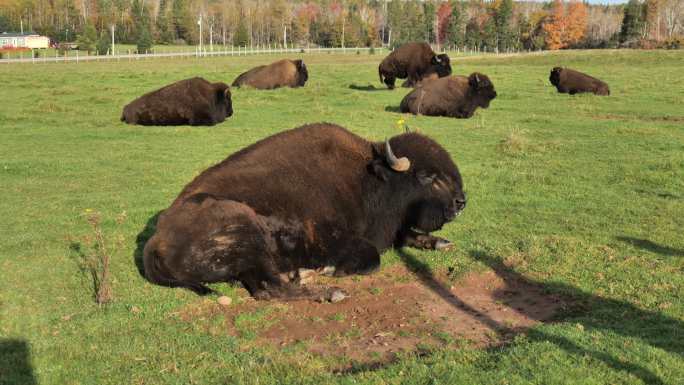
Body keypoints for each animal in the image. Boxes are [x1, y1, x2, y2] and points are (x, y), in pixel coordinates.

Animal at [142, 123, 468, 300]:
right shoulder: (335, 240)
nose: (461, 202)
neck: (370, 180)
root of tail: (155, 241)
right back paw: (328, 291)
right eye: (426, 176)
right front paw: (329, 271)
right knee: (269, 289)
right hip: (246, 230)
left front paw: (441, 242)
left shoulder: (390, 229)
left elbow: (407, 234)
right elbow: (371, 257)